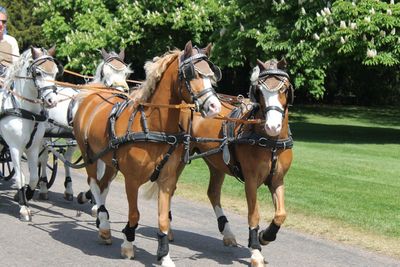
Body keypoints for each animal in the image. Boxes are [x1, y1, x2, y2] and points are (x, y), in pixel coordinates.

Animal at [0, 46, 61, 222]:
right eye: (38, 73)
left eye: (56, 72)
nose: (52, 101)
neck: (28, 112)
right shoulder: (14, 148)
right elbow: (20, 177)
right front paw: (24, 209)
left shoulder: (33, 148)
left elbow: (33, 177)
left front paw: (25, 195)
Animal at [37, 49, 131, 202]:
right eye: (105, 73)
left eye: (126, 73)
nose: (120, 91)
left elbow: (101, 172)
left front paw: (92, 196)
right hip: (45, 134)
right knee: (43, 157)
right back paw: (43, 186)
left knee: (67, 158)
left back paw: (69, 189)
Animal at [72, 40, 222, 266]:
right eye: (191, 74)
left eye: (211, 74)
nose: (214, 107)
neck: (152, 126)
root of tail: (92, 96)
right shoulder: (132, 180)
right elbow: (134, 214)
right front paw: (128, 244)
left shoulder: (167, 180)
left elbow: (163, 219)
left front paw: (164, 255)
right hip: (89, 154)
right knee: (94, 184)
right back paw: (105, 224)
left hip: (109, 160)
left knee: (103, 184)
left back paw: (101, 221)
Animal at [166, 59, 294, 267]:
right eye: (260, 91)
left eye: (284, 89)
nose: (272, 126)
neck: (271, 142)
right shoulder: (251, 180)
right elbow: (254, 214)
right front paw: (255, 250)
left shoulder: (277, 179)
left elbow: (281, 214)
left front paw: (265, 236)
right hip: (180, 158)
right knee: (170, 188)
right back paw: (168, 230)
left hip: (217, 163)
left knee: (213, 193)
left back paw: (227, 233)